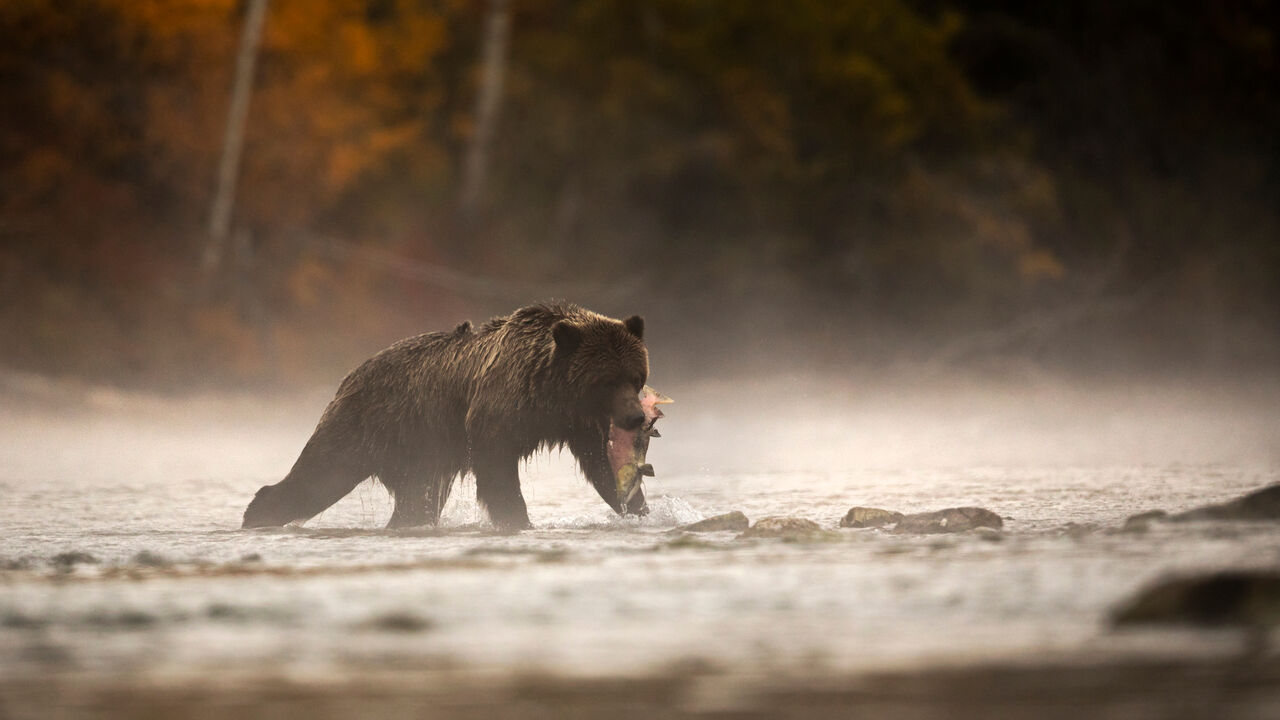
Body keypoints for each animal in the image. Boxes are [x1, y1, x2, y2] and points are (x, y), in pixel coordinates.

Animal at [240, 299, 650, 530]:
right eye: (606, 379)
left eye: (635, 377)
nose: (637, 419)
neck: (549, 393)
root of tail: (350, 374)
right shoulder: (495, 415)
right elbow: (498, 473)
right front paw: (517, 519)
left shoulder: (578, 424)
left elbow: (603, 467)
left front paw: (637, 506)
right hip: (364, 425)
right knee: (319, 474)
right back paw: (257, 513)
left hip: (419, 455)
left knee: (416, 500)